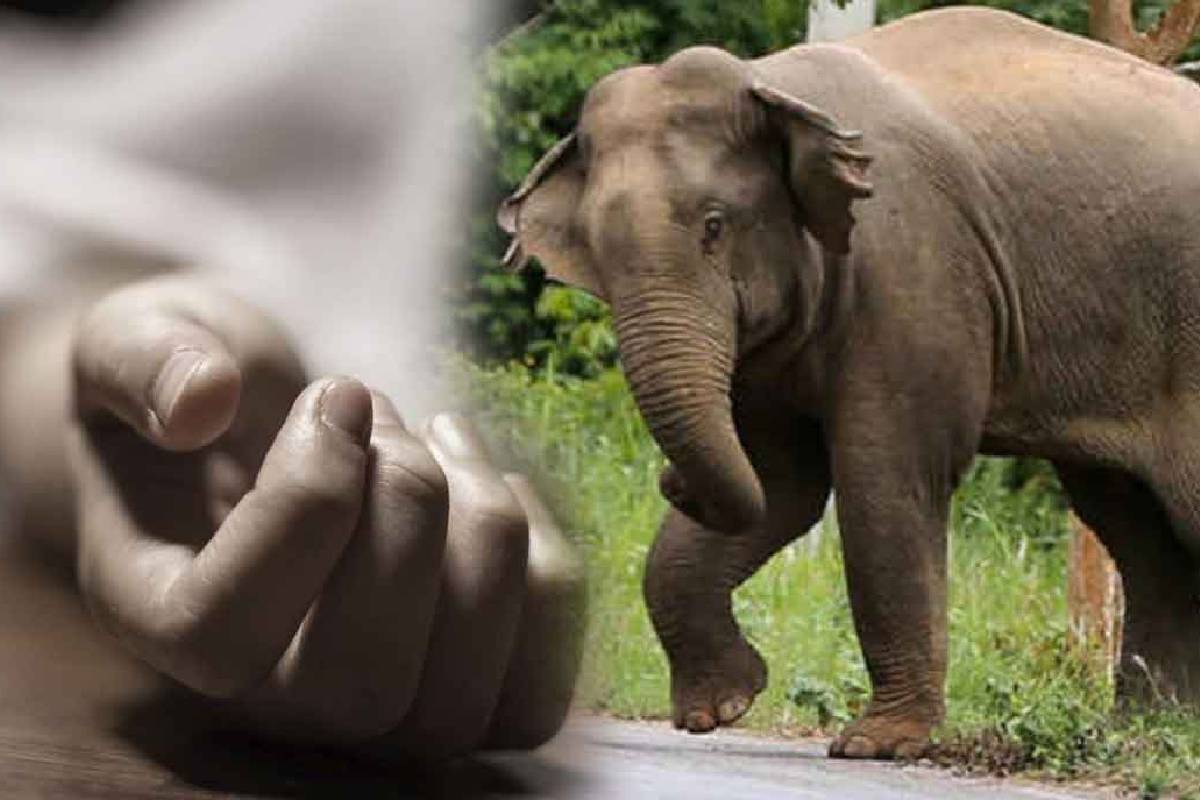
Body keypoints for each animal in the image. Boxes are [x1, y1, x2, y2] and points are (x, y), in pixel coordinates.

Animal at [498, 6, 1200, 759]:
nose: (668, 481)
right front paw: (723, 704)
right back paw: (1141, 734)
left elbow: (884, 476)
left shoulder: (914, 265)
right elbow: (781, 481)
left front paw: (877, 745)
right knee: (1133, 524)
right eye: (594, 251)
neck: (774, 85)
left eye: (714, 226)